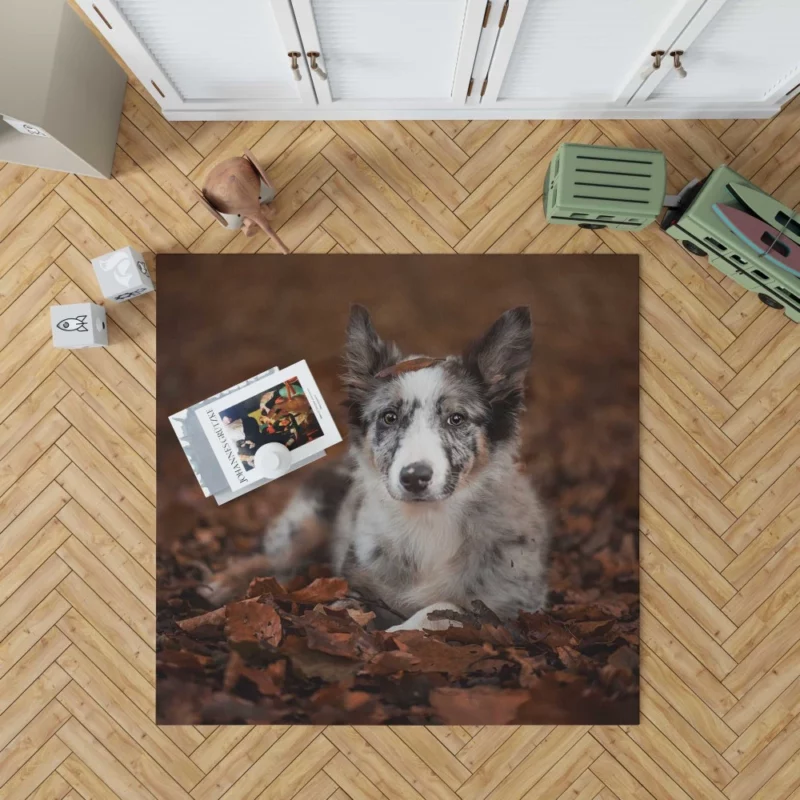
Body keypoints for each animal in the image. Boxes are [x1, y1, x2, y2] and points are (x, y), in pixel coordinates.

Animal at [205, 306, 552, 632]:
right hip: (305, 522)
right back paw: (224, 584)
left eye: (456, 419)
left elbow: (445, 609)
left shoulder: (512, 605)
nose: (414, 478)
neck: (428, 521)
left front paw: (403, 630)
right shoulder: (359, 581)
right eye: (389, 417)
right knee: (274, 559)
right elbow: (347, 607)